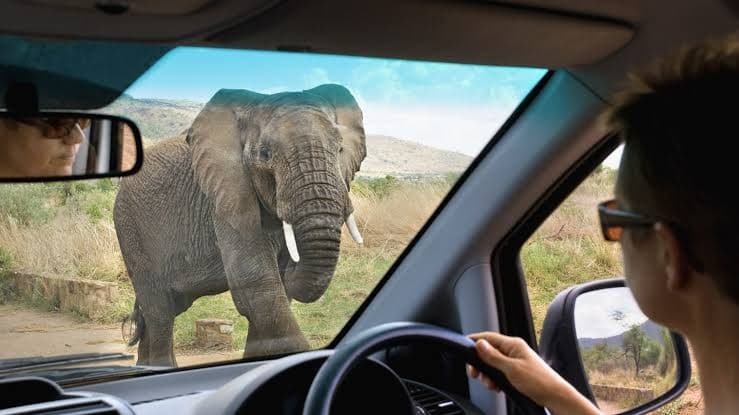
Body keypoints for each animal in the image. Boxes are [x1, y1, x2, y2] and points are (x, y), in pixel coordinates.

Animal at [113, 84, 366, 366]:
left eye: (340, 149)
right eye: (265, 154)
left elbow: (274, 294)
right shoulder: (226, 195)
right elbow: (256, 281)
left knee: (166, 308)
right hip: (130, 227)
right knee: (160, 311)